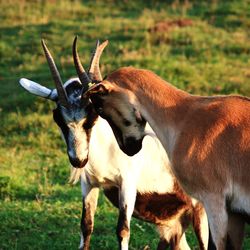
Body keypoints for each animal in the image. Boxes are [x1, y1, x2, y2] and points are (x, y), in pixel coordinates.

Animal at [19, 38, 208, 249]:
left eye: (93, 113)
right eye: (57, 117)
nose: (78, 160)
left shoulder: (127, 183)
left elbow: (123, 230)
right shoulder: (89, 184)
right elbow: (86, 226)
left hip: (200, 210)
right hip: (173, 224)